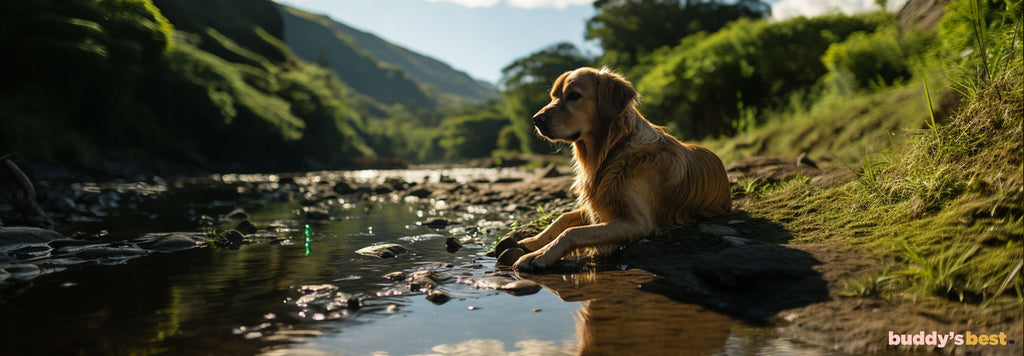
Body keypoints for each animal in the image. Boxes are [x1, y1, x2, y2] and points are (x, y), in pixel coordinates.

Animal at [516, 66, 733, 272]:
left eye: (574, 95)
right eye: (553, 96)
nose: (536, 119)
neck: (613, 149)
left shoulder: (638, 222)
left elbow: (572, 232)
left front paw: (540, 255)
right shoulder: (597, 204)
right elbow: (562, 218)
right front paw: (533, 242)